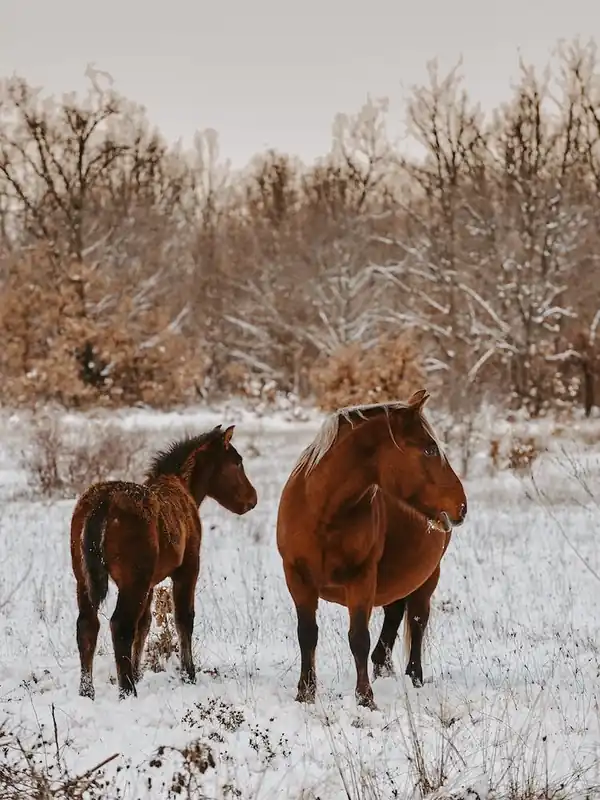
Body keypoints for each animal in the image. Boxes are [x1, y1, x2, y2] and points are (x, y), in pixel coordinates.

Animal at [70, 424, 257, 700]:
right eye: (237, 462)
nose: (252, 499)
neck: (186, 487)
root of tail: (101, 505)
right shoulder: (188, 567)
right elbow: (184, 619)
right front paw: (188, 674)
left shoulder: (150, 582)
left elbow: (145, 624)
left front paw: (138, 671)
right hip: (132, 579)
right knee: (120, 626)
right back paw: (127, 690)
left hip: (83, 578)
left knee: (87, 625)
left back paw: (87, 690)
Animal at [276, 389, 467, 710]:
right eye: (429, 449)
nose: (461, 506)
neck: (323, 514)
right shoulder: (297, 578)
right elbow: (307, 634)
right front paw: (305, 693)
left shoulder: (361, 579)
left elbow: (358, 638)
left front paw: (365, 699)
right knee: (394, 613)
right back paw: (382, 665)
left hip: (428, 578)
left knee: (417, 621)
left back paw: (414, 678)